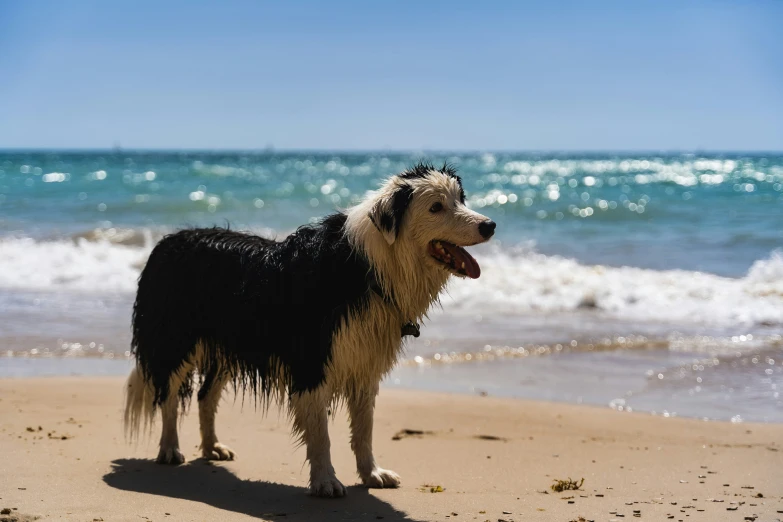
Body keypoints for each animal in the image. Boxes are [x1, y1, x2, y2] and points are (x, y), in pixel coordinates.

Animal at [126, 162, 500, 496]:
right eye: (436, 207)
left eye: (460, 199)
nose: (490, 225)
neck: (371, 267)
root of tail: (166, 242)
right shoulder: (313, 362)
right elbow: (321, 434)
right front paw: (325, 482)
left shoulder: (364, 363)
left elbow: (364, 429)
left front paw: (371, 474)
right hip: (175, 339)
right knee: (169, 395)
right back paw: (169, 449)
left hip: (228, 343)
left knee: (205, 395)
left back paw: (211, 447)